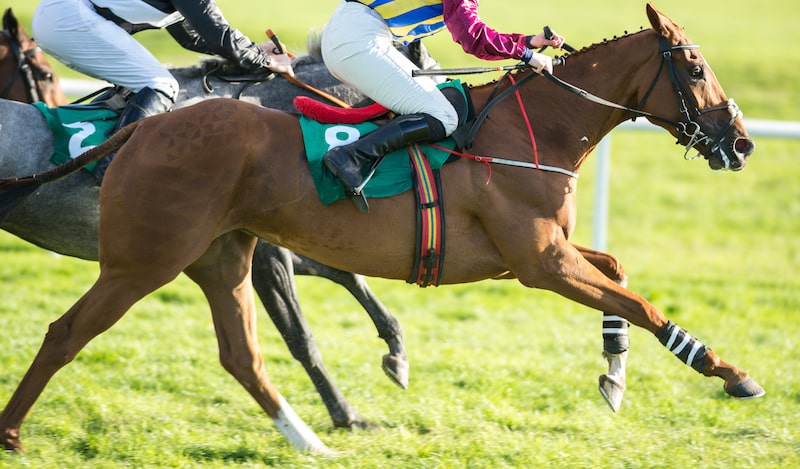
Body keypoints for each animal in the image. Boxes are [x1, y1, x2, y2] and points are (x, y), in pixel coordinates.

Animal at [0, 3, 764, 456]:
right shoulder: (539, 261)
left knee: (242, 355)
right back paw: (10, 432)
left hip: (220, 255)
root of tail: (147, 127)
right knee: (65, 333)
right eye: (695, 66)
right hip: (145, 260)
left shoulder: (544, 253)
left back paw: (312, 443)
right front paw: (728, 371)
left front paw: (613, 371)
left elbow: (619, 279)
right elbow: (638, 300)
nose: (741, 141)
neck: (534, 130)